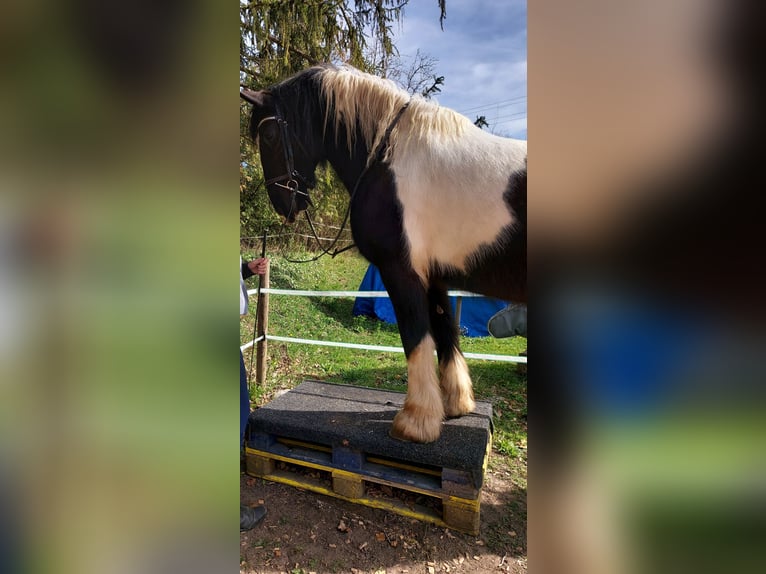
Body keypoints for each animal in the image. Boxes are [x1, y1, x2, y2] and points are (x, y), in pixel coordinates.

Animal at [242, 64, 528, 446]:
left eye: (270, 134)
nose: (282, 203)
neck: (390, 158)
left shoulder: (401, 272)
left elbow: (416, 338)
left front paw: (416, 421)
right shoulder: (434, 277)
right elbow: (445, 333)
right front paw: (456, 404)